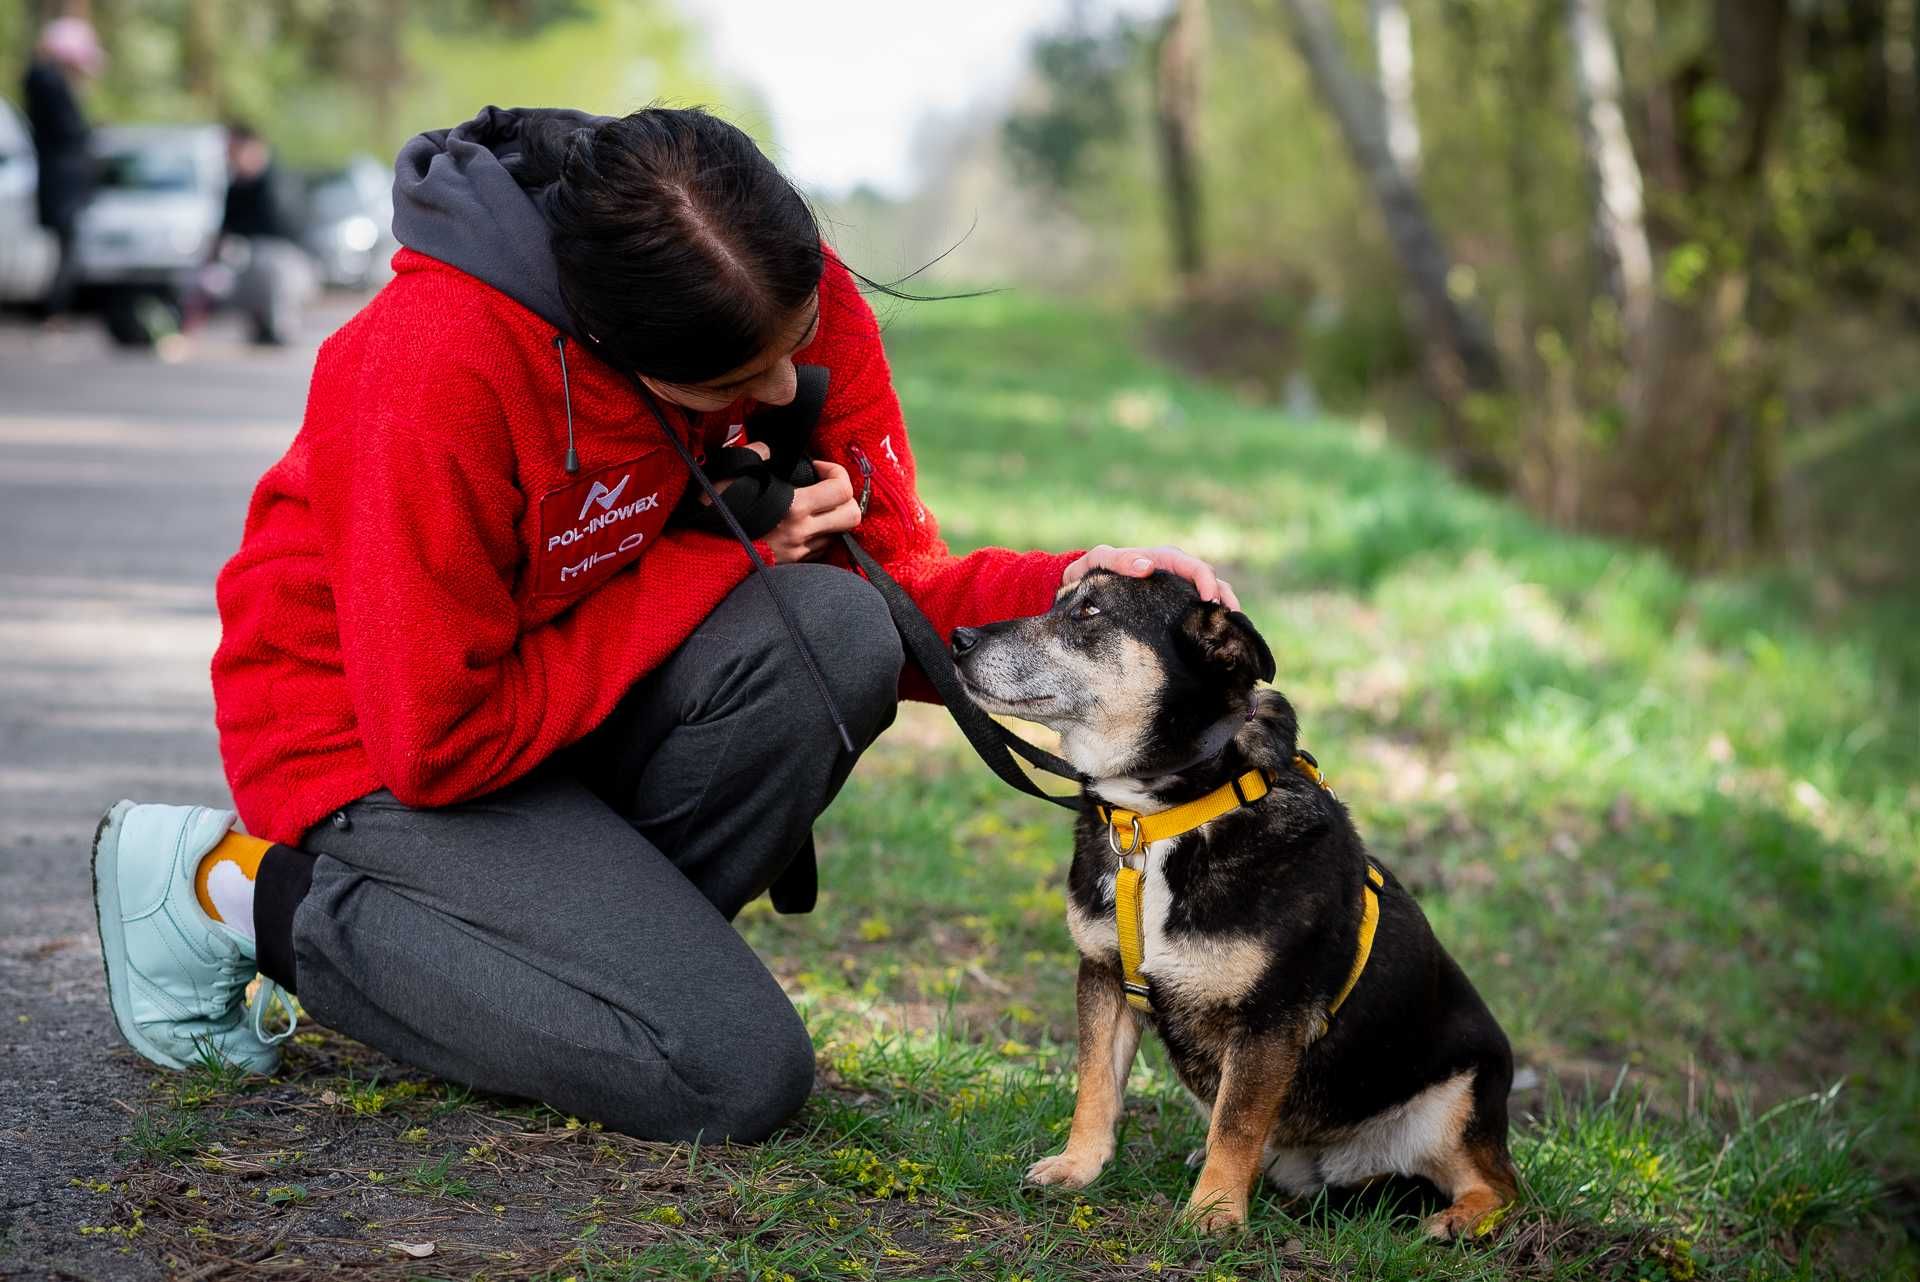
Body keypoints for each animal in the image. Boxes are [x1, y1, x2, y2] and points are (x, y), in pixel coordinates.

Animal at [952, 575, 1520, 1235]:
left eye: (1090, 611)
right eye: (1056, 599)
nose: (958, 638)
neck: (1161, 816)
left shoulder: (1270, 1017)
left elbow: (1239, 1121)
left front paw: (1214, 1211)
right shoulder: (1103, 975)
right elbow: (1095, 1087)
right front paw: (1078, 1166)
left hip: (1459, 1098)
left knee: (1503, 1185)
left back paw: (1458, 1220)